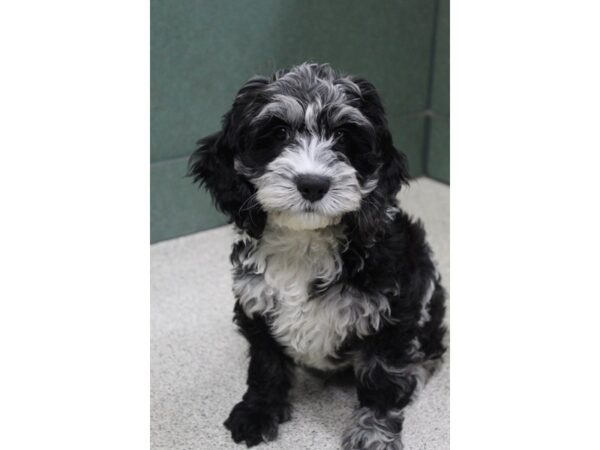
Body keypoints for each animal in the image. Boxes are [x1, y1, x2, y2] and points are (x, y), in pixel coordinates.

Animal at [188, 63, 446, 450]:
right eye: (279, 132)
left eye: (342, 136)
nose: (313, 184)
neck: (305, 241)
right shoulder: (257, 302)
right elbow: (266, 364)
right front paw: (257, 412)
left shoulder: (391, 312)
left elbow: (381, 376)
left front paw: (373, 434)